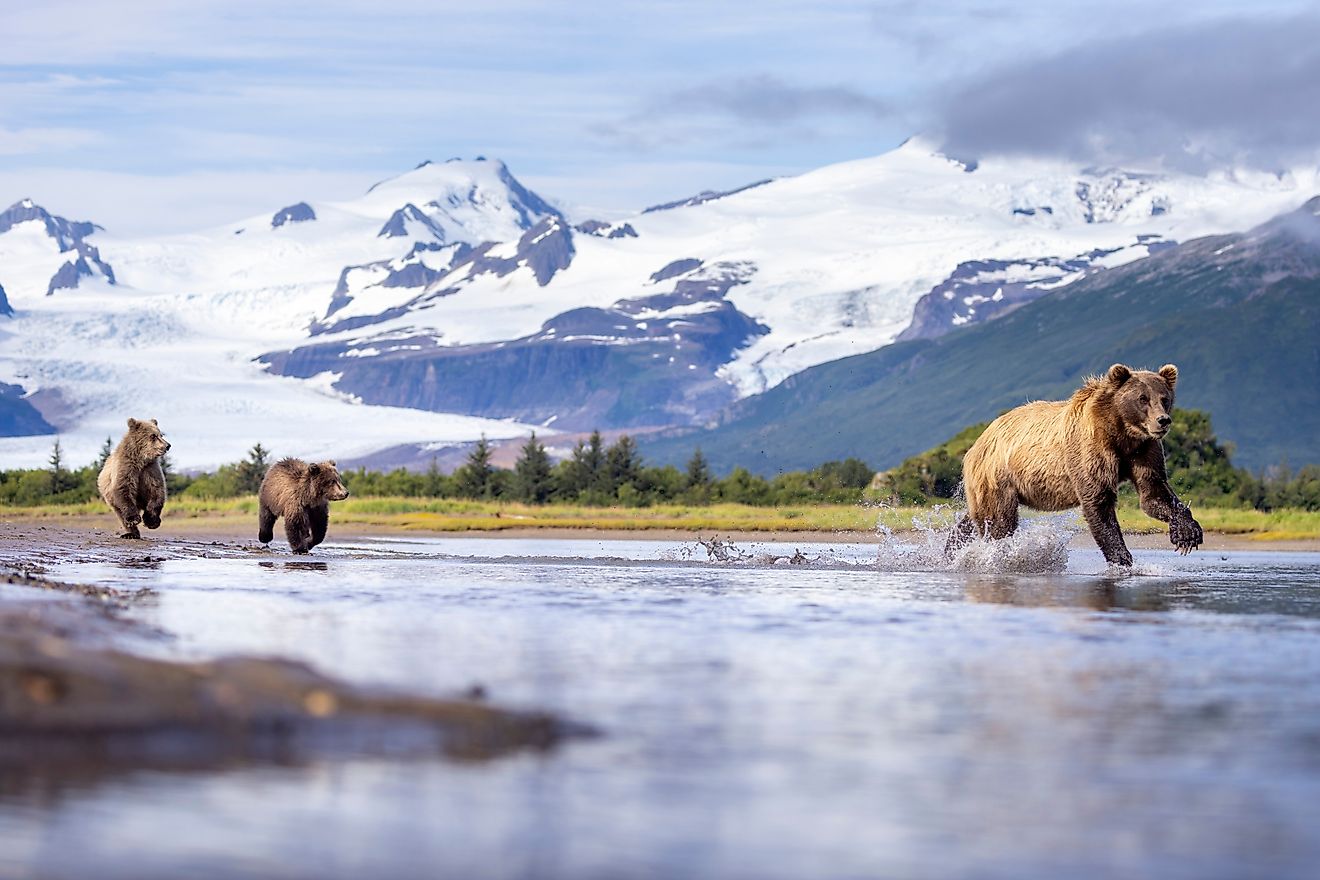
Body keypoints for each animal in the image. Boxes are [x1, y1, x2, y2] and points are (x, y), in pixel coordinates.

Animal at [946, 363, 1203, 566]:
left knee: (976, 518)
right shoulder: (1092, 448)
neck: (1122, 432)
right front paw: (1122, 558)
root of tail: (978, 442)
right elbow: (1098, 501)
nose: (1163, 420)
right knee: (999, 522)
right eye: (1142, 398)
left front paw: (1187, 533)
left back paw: (950, 549)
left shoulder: (1143, 450)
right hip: (997, 475)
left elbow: (1153, 492)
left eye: (1164, 398)